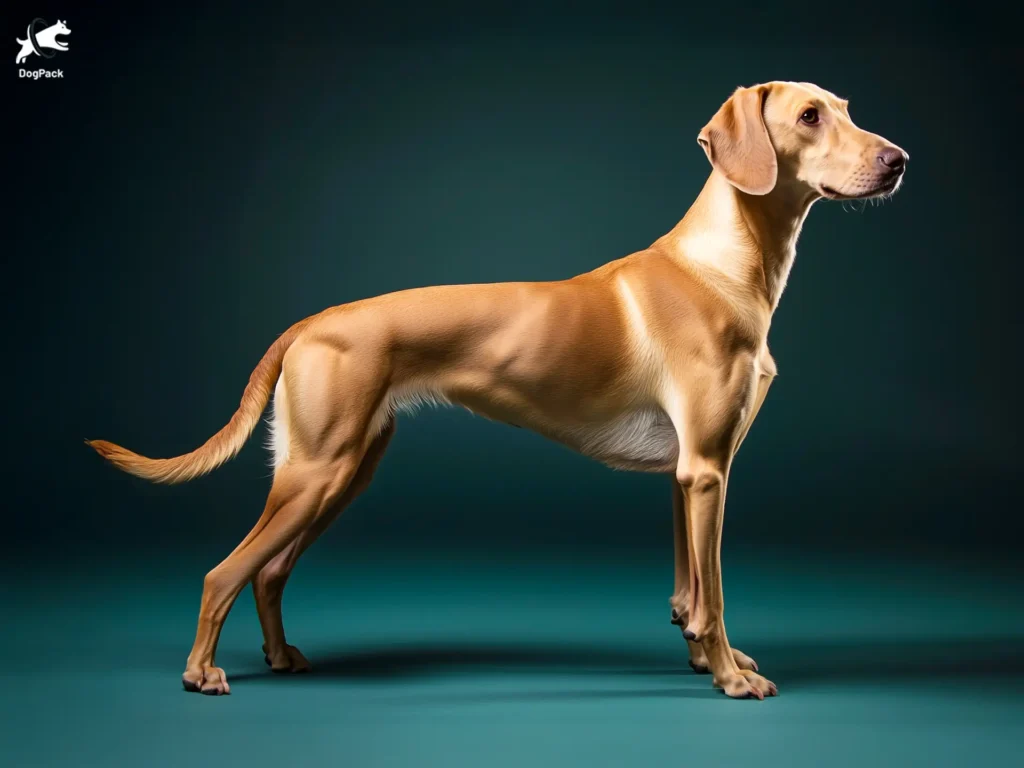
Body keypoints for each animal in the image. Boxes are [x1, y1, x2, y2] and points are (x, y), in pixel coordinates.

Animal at [88, 81, 905, 700]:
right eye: (810, 116)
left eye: (847, 108)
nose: (899, 160)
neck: (720, 266)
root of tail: (308, 323)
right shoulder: (708, 472)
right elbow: (716, 595)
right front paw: (732, 678)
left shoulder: (687, 474)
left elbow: (689, 593)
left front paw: (708, 662)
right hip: (317, 473)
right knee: (223, 572)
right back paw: (201, 673)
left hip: (341, 473)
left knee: (270, 572)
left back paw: (284, 658)